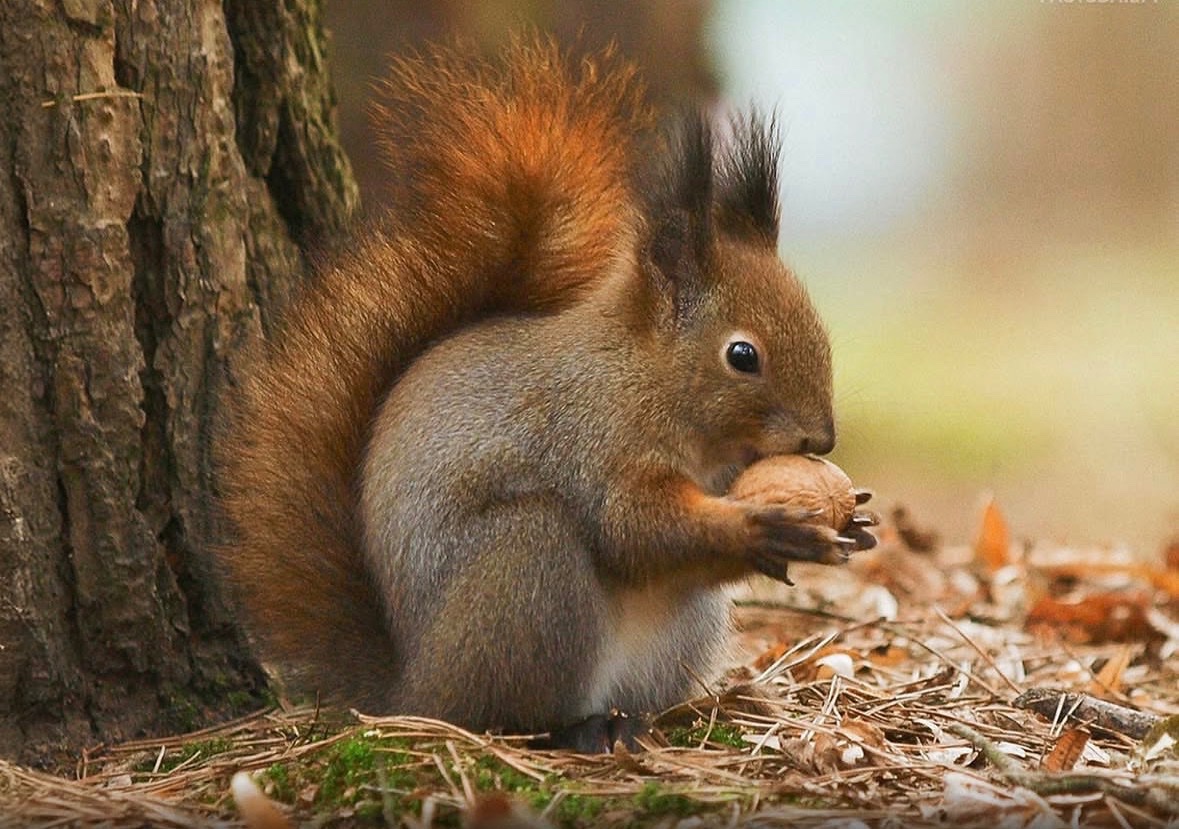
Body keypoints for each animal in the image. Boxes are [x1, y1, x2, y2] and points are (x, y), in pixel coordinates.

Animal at [215, 36, 876, 753]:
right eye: (742, 356)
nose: (823, 439)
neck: (647, 379)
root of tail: (410, 690)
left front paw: (851, 521)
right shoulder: (596, 440)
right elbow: (633, 528)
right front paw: (762, 527)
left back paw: (632, 720)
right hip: (527, 572)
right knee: (504, 707)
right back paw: (573, 729)